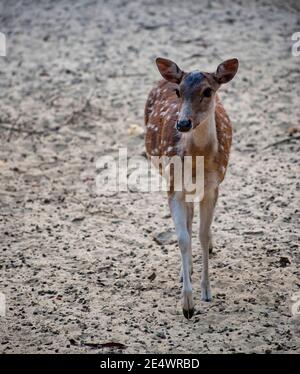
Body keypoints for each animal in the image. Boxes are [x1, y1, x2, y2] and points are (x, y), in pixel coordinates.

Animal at [145, 57, 239, 318]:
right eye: (178, 91)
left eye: (208, 91)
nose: (183, 123)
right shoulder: (173, 185)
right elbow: (183, 238)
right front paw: (187, 304)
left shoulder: (213, 187)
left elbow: (202, 235)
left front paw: (206, 292)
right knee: (187, 219)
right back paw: (184, 272)